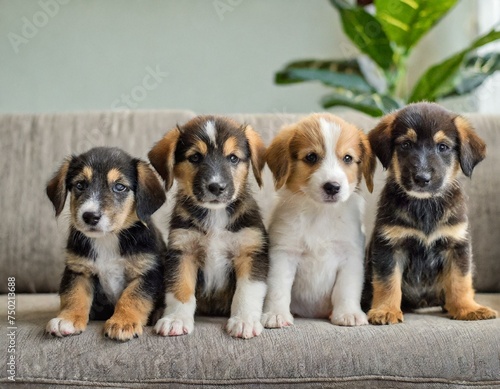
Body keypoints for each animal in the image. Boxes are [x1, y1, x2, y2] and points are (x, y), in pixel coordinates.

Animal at [45, 147, 166, 342]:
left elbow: (132, 298)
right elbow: (74, 295)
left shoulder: (147, 272)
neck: (107, 239)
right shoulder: (78, 270)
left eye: (119, 187)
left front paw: (123, 322)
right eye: (80, 185)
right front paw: (67, 319)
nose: (90, 216)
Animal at [146, 114, 268, 336]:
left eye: (233, 158)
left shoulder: (251, 252)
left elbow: (247, 291)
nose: (216, 187)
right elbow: (180, 289)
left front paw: (244, 320)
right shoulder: (182, 252)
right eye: (195, 157)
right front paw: (176, 319)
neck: (215, 215)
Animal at [262, 113, 376, 328]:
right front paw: (276, 314)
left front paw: (348, 313)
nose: (332, 187)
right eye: (311, 157)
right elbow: (278, 289)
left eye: (347, 158)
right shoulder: (283, 254)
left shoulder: (350, 256)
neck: (320, 213)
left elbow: (346, 289)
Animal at [366, 103, 498, 324]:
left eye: (442, 147)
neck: (424, 206)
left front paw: (466, 308)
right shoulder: (389, 247)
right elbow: (387, 283)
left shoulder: (457, 247)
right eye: (406, 144)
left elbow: (460, 282)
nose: (422, 178)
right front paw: (385, 310)